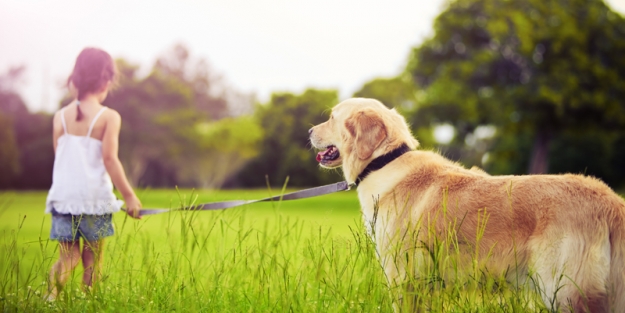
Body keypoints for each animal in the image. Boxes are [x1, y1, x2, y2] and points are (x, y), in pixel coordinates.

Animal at [308, 97, 624, 312]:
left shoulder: (403, 277)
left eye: (332, 117)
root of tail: (610, 200)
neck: (383, 162)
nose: (309, 131)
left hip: (565, 291)